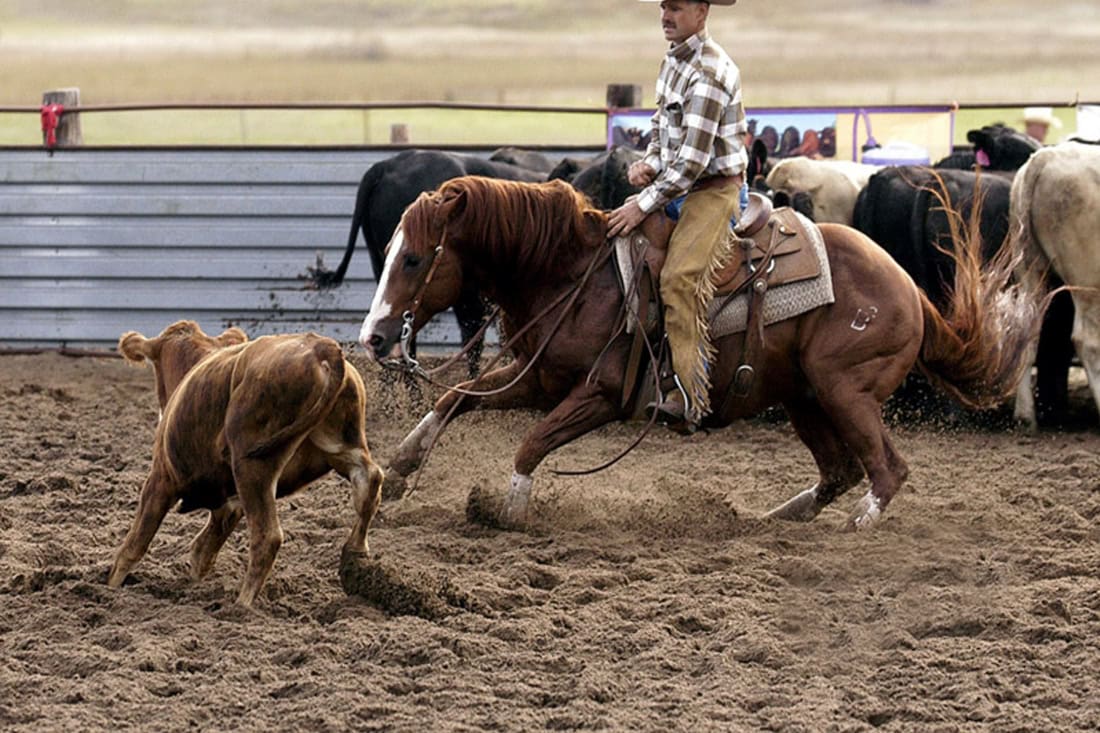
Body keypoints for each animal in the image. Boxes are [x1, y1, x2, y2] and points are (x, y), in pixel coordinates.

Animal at [360, 176, 1041, 531]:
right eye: (389, 251)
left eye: (414, 258)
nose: (372, 336)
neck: (572, 272)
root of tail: (908, 288)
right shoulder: (542, 378)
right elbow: (455, 397)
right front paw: (400, 469)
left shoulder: (602, 395)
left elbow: (532, 443)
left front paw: (510, 510)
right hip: (805, 397)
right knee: (839, 471)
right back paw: (775, 518)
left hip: (843, 389)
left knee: (885, 470)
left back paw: (853, 529)